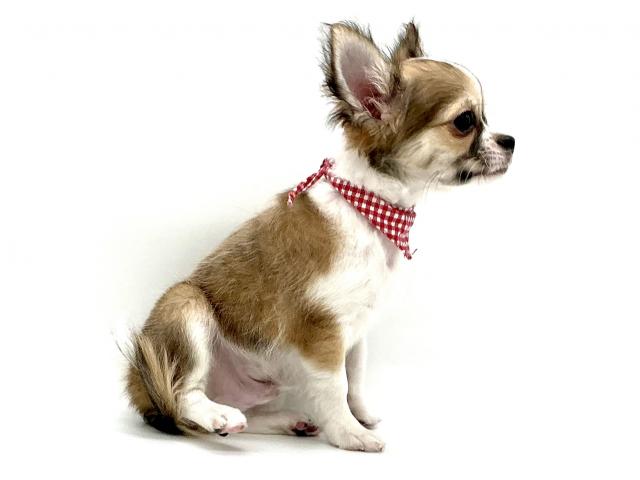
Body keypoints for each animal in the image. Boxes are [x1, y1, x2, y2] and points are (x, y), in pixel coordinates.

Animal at [125, 20, 514, 452]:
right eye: (465, 121)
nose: (510, 141)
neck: (371, 212)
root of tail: (141, 389)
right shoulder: (322, 330)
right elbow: (335, 385)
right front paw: (349, 433)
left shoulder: (355, 328)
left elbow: (355, 378)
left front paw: (361, 415)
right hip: (186, 304)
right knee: (185, 396)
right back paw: (217, 415)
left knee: (243, 411)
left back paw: (281, 420)